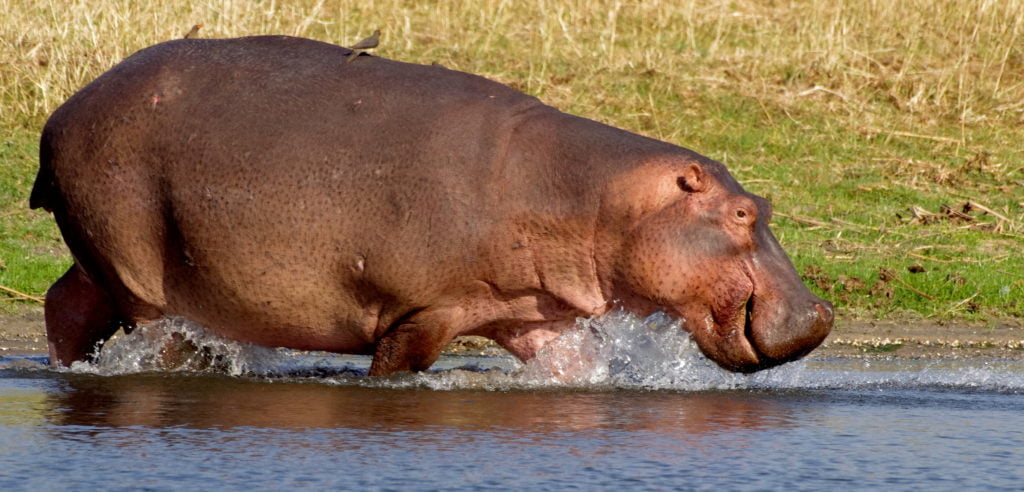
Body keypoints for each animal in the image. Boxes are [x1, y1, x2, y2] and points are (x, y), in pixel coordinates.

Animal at [31, 35, 833, 375]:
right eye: (740, 215)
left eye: (764, 202)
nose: (819, 314)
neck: (595, 201)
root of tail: (63, 112)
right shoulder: (423, 310)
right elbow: (396, 371)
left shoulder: (533, 315)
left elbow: (573, 371)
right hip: (139, 272)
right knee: (156, 337)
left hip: (96, 258)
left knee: (62, 302)